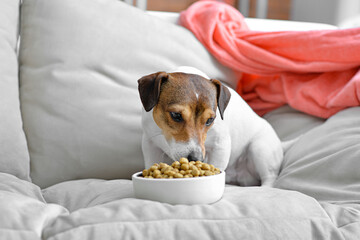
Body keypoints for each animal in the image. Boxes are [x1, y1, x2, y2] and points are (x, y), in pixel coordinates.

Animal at [138, 66, 284, 187]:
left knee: (269, 178)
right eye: (176, 115)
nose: (195, 158)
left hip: (260, 148)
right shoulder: (150, 144)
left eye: (210, 120)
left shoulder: (220, 145)